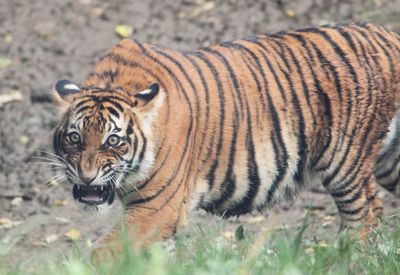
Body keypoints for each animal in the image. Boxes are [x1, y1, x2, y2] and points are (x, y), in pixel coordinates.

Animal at [50, 22, 400, 260]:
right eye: (74, 138)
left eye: (113, 141)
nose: (86, 177)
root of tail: (385, 33)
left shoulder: (156, 209)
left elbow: (104, 252)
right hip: (389, 161)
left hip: (344, 162)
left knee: (367, 212)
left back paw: (347, 259)